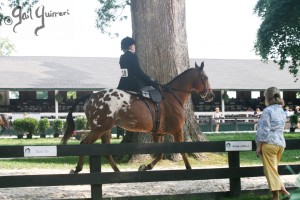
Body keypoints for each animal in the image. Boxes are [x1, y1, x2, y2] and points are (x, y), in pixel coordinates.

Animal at [62, 61, 214, 173]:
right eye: (205, 78)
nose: (211, 96)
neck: (172, 96)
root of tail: (91, 96)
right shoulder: (178, 130)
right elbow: (182, 150)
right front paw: (189, 168)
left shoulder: (158, 133)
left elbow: (159, 154)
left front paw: (145, 167)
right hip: (99, 129)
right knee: (84, 144)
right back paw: (78, 168)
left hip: (105, 130)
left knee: (107, 152)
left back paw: (117, 171)